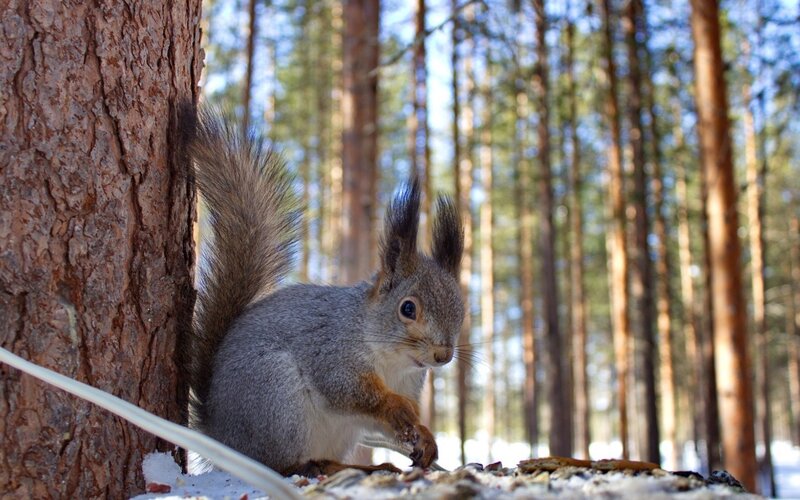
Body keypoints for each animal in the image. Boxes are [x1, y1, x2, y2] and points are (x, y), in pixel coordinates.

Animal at [184, 106, 465, 477]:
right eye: (407, 308)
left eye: (462, 312)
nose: (442, 356)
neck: (392, 361)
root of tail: (221, 436)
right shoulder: (329, 351)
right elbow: (349, 391)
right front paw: (396, 407)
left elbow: (379, 422)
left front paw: (424, 436)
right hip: (276, 396)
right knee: (277, 463)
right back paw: (311, 466)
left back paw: (360, 467)